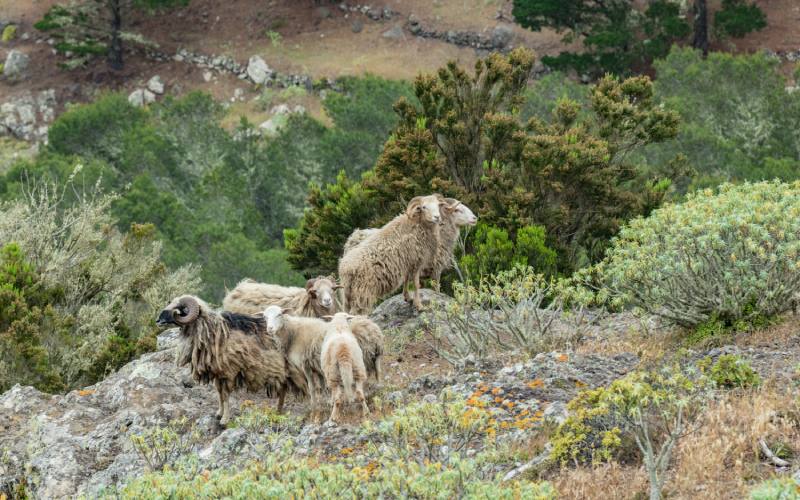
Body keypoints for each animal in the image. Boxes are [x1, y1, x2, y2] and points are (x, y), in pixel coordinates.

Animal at [157, 295, 300, 425]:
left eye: (179, 308)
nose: (158, 319)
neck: (212, 332)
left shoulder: (229, 372)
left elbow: (225, 396)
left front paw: (224, 420)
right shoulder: (218, 374)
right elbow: (219, 394)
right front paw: (219, 414)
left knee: (283, 390)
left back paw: (278, 411)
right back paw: (279, 411)